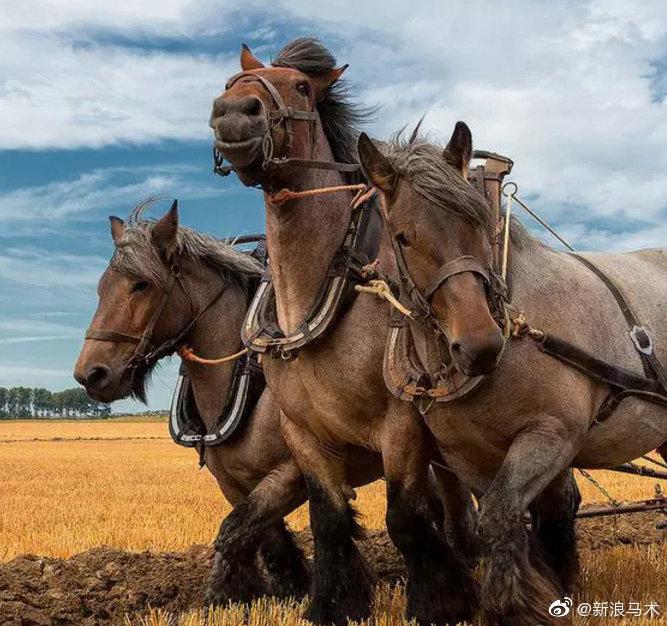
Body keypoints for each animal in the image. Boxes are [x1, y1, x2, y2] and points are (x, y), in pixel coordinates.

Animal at [211, 39, 478, 624]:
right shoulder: (305, 436)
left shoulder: (401, 425)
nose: (234, 114)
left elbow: (405, 518)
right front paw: (336, 603)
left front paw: (439, 601)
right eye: (229, 83)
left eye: (301, 87)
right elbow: (329, 521)